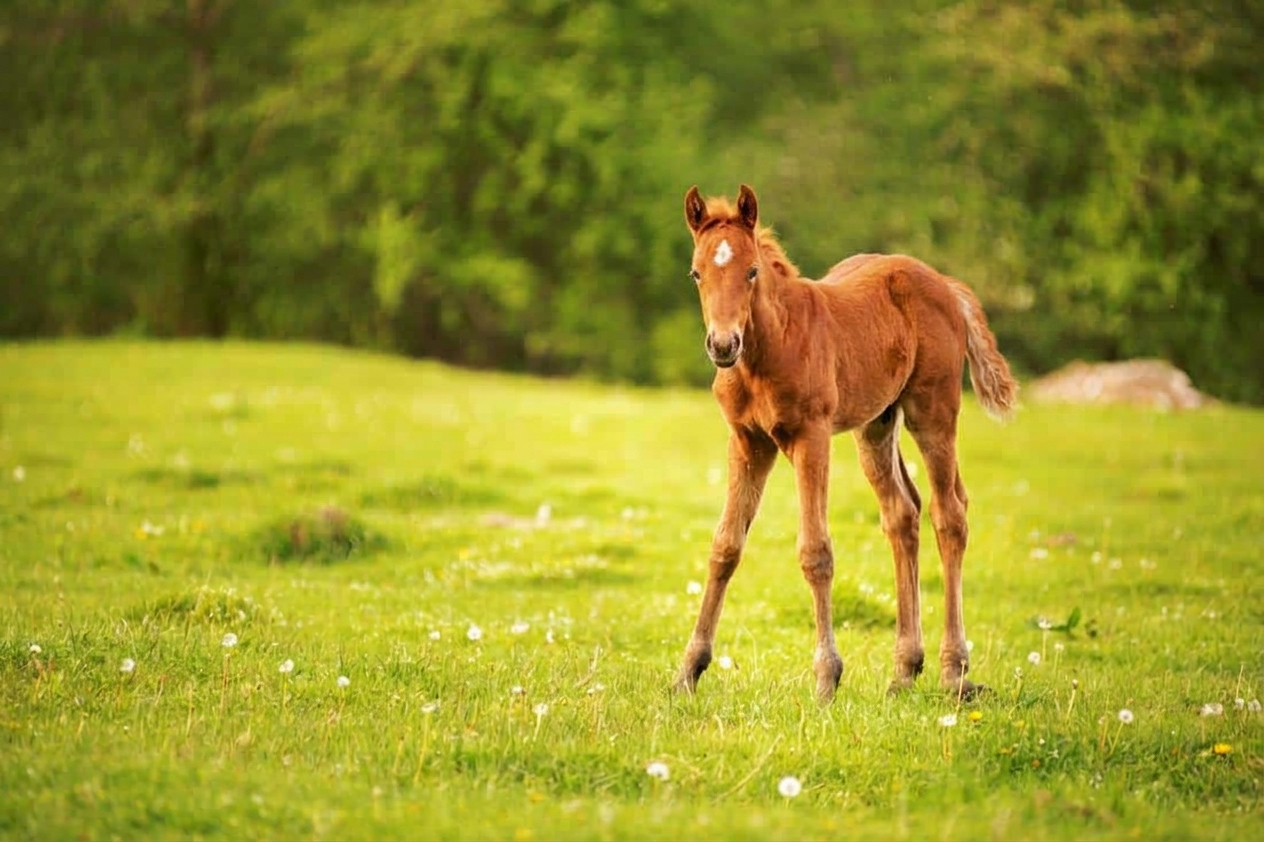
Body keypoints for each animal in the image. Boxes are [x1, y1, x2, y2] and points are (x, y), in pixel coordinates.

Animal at [675, 184, 1017, 703]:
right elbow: (725, 546)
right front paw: (688, 672)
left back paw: (953, 671)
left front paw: (826, 677)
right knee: (902, 513)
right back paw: (904, 669)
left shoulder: (811, 437)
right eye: (697, 273)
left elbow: (816, 552)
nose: (722, 345)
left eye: (751, 271)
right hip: (875, 424)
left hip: (932, 410)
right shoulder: (748, 442)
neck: (770, 347)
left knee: (950, 514)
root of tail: (945, 284)